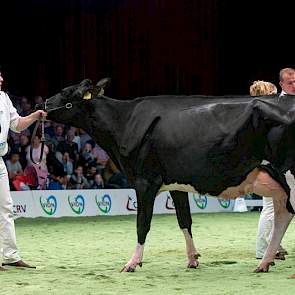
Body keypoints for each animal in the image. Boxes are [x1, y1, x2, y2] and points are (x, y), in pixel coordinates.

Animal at [42, 78, 295, 272]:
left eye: (66, 92)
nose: (43, 103)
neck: (124, 121)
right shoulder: (176, 183)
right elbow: (185, 220)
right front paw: (192, 259)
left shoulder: (144, 182)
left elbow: (142, 224)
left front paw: (132, 263)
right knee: (283, 214)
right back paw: (265, 262)